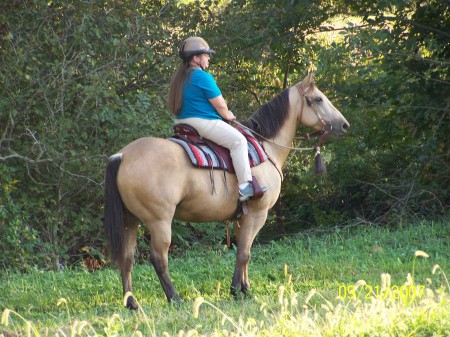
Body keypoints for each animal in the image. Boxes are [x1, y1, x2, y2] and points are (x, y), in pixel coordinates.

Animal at [103, 71, 350, 310]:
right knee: (158, 259)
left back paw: (132, 303)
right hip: (159, 221)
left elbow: (244, 252)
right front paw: (236, 290)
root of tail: (122, 155)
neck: (266, 147)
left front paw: (245, 287)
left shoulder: (243, 217)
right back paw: (174, 298)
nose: (345, 125)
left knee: (126, 259)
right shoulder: (258, 214)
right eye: (318, 99)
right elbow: (244, 253)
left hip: (130, 220)